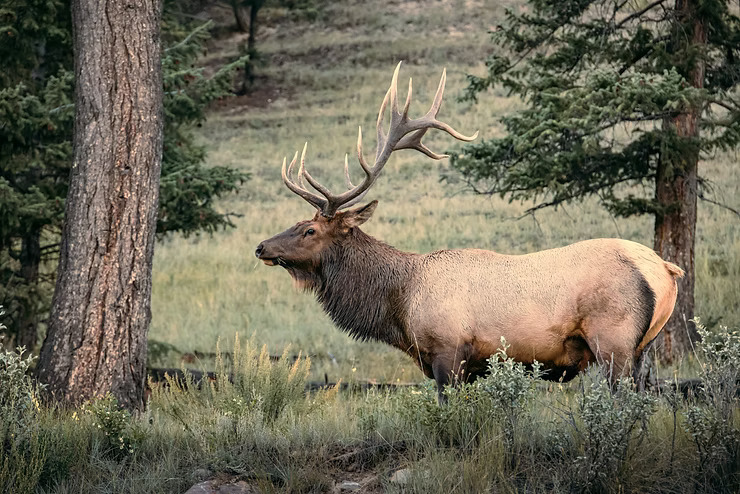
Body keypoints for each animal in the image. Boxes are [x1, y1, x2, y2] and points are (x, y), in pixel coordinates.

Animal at [255, 63, 684, 401]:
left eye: (309, 230)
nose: (261, 247)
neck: (400, 302)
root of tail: (665, 269)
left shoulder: (448, 351)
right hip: (644, 348)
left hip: (614, 341)